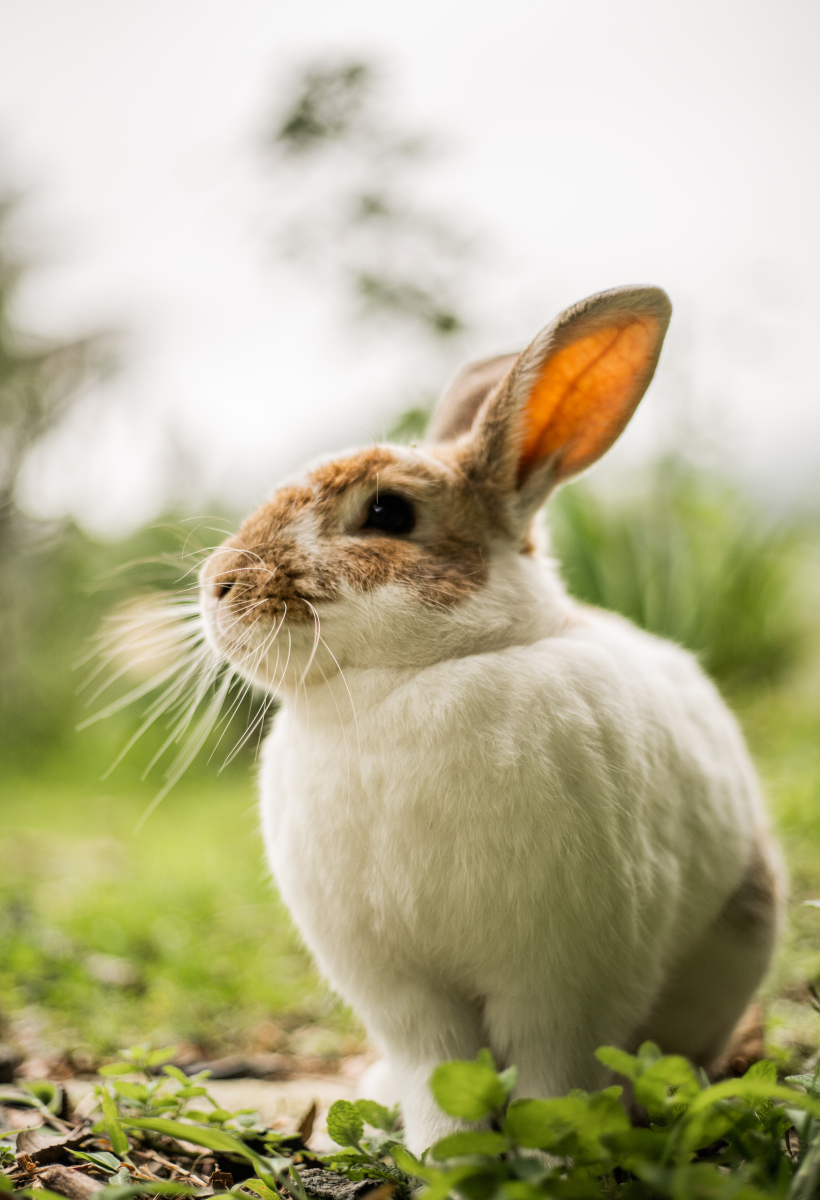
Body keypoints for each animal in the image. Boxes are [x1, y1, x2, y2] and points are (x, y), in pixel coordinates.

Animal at [199, 285, 782, 1156]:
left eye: (388, 512)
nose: (219, 585)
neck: (405, 683)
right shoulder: (401, 990)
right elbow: (438, 1069)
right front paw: (439, 1153)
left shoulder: (564, 979)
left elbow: (550, 1072)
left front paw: (548, 1154)